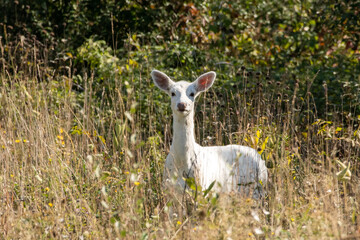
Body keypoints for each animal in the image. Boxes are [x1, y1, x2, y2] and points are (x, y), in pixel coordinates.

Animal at [152, 70, 268, 199]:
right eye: (172, 93)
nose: (182, 105)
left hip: (259, 186)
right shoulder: (168, 192)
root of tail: (257, 154)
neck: (181, 163)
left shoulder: (202, 189)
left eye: (192, 94)